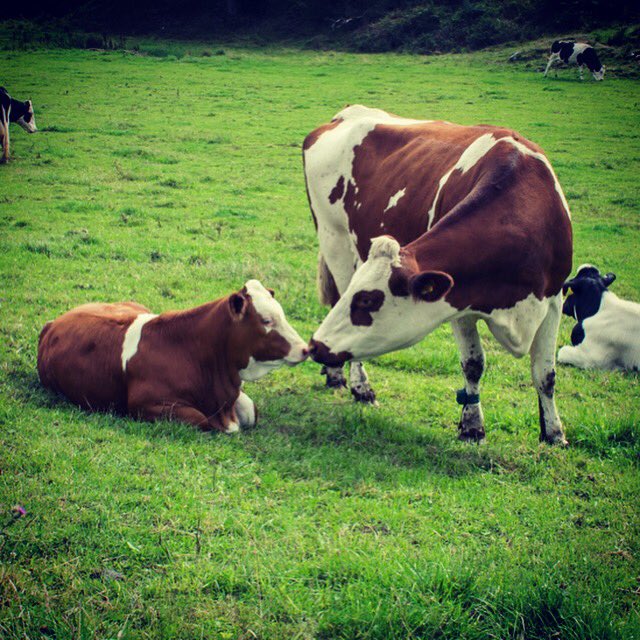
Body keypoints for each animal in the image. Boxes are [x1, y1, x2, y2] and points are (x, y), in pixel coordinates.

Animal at [37, 282, 308, 436]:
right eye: (266, 320)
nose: (306, 349)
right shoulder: (144, 405)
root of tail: (53, 323)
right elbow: (201, 420)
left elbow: (251, 410)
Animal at [304, 105, 568, 444]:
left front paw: (554, 433)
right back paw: (359, 385)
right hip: (334, 239)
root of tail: (346, 114)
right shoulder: (459, 300)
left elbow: (546, 374)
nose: (315, 345)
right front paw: (472, 426)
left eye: (367, 301)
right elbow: (473, 364)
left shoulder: (554, 298)